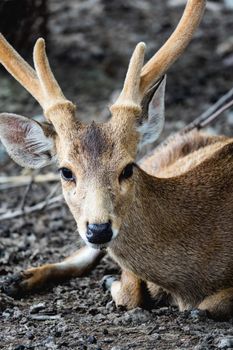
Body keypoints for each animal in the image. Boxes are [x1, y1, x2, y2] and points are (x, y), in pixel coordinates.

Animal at [0, 0, 233, 322]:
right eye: (65, 171)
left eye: (127, 168)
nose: (99, 229)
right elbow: (131, 291)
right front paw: (114, 281)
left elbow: (208, 306)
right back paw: (16, 279)